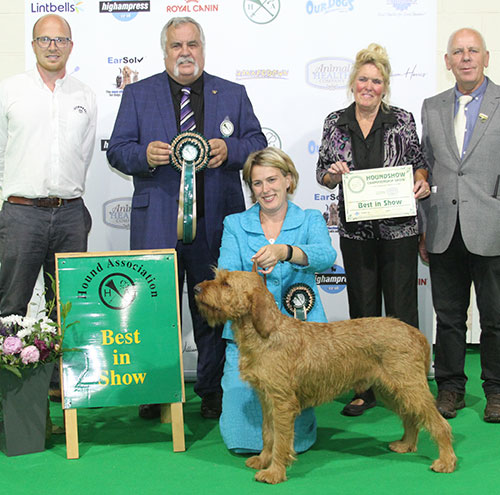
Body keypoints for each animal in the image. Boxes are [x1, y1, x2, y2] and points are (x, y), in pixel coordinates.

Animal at [195, 270, 458, 486]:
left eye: (226, 283)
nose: (196, 289)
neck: (265, 333)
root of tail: (415, 332)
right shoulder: (267, 399)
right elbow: (267, 434)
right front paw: (262, 459)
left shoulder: (282, 403)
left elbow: (281, 440)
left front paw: (274, 472)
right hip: (391, 390)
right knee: (411, 417)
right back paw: (405, 445)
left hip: (409, 387)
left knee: (438, 423)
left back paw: (446, 461)